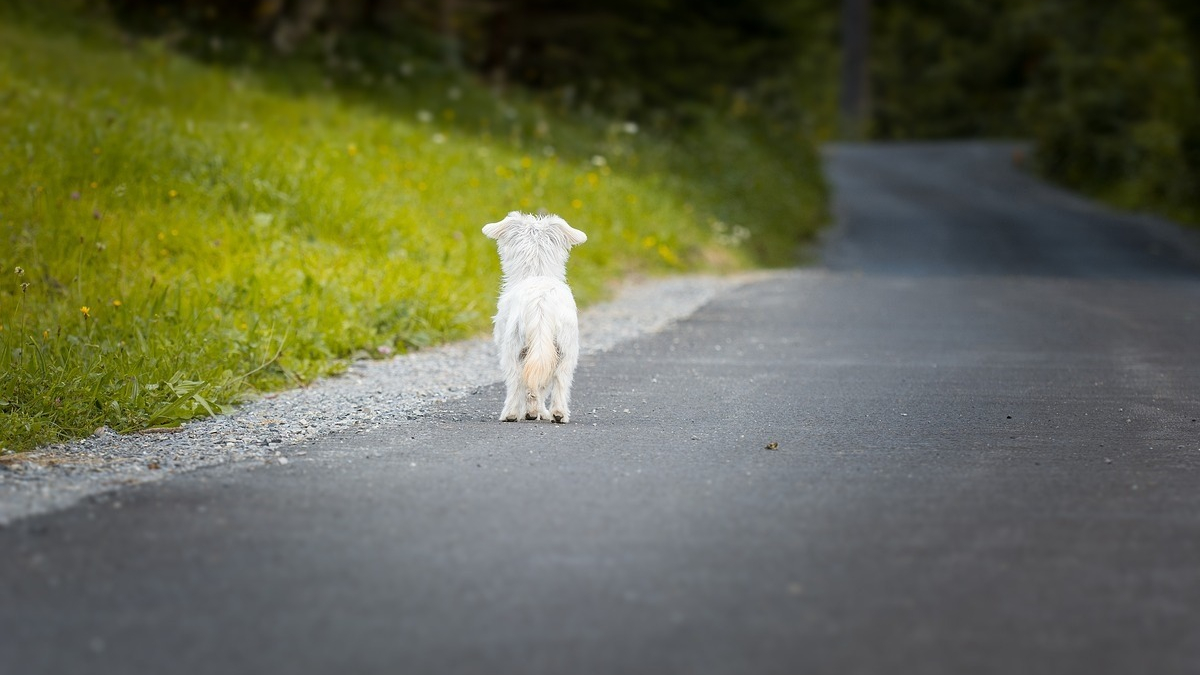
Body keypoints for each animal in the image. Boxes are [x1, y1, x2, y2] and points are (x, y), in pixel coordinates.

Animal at [480, 208, 588, 420]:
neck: (536, 272)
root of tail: (541, 303)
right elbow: (540, 385)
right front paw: (538, 411)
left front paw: (531, 411)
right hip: (566, 350)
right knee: (560, 381)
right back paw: (558, 414)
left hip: (512, 348)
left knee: (516, 381)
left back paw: (511, 413)